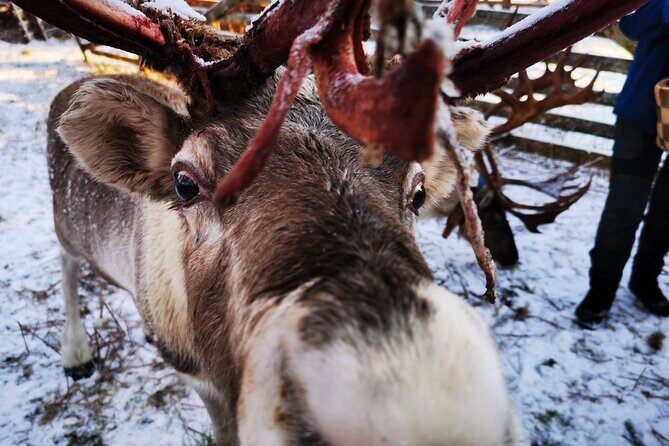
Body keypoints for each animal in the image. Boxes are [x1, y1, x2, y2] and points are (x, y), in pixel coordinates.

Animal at [14, 0, 647, 444]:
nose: (423, 404)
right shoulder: (199, 379)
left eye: (418, 189)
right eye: (185, 182)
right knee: (67, 265)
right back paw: (75, 353)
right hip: (64, 224)